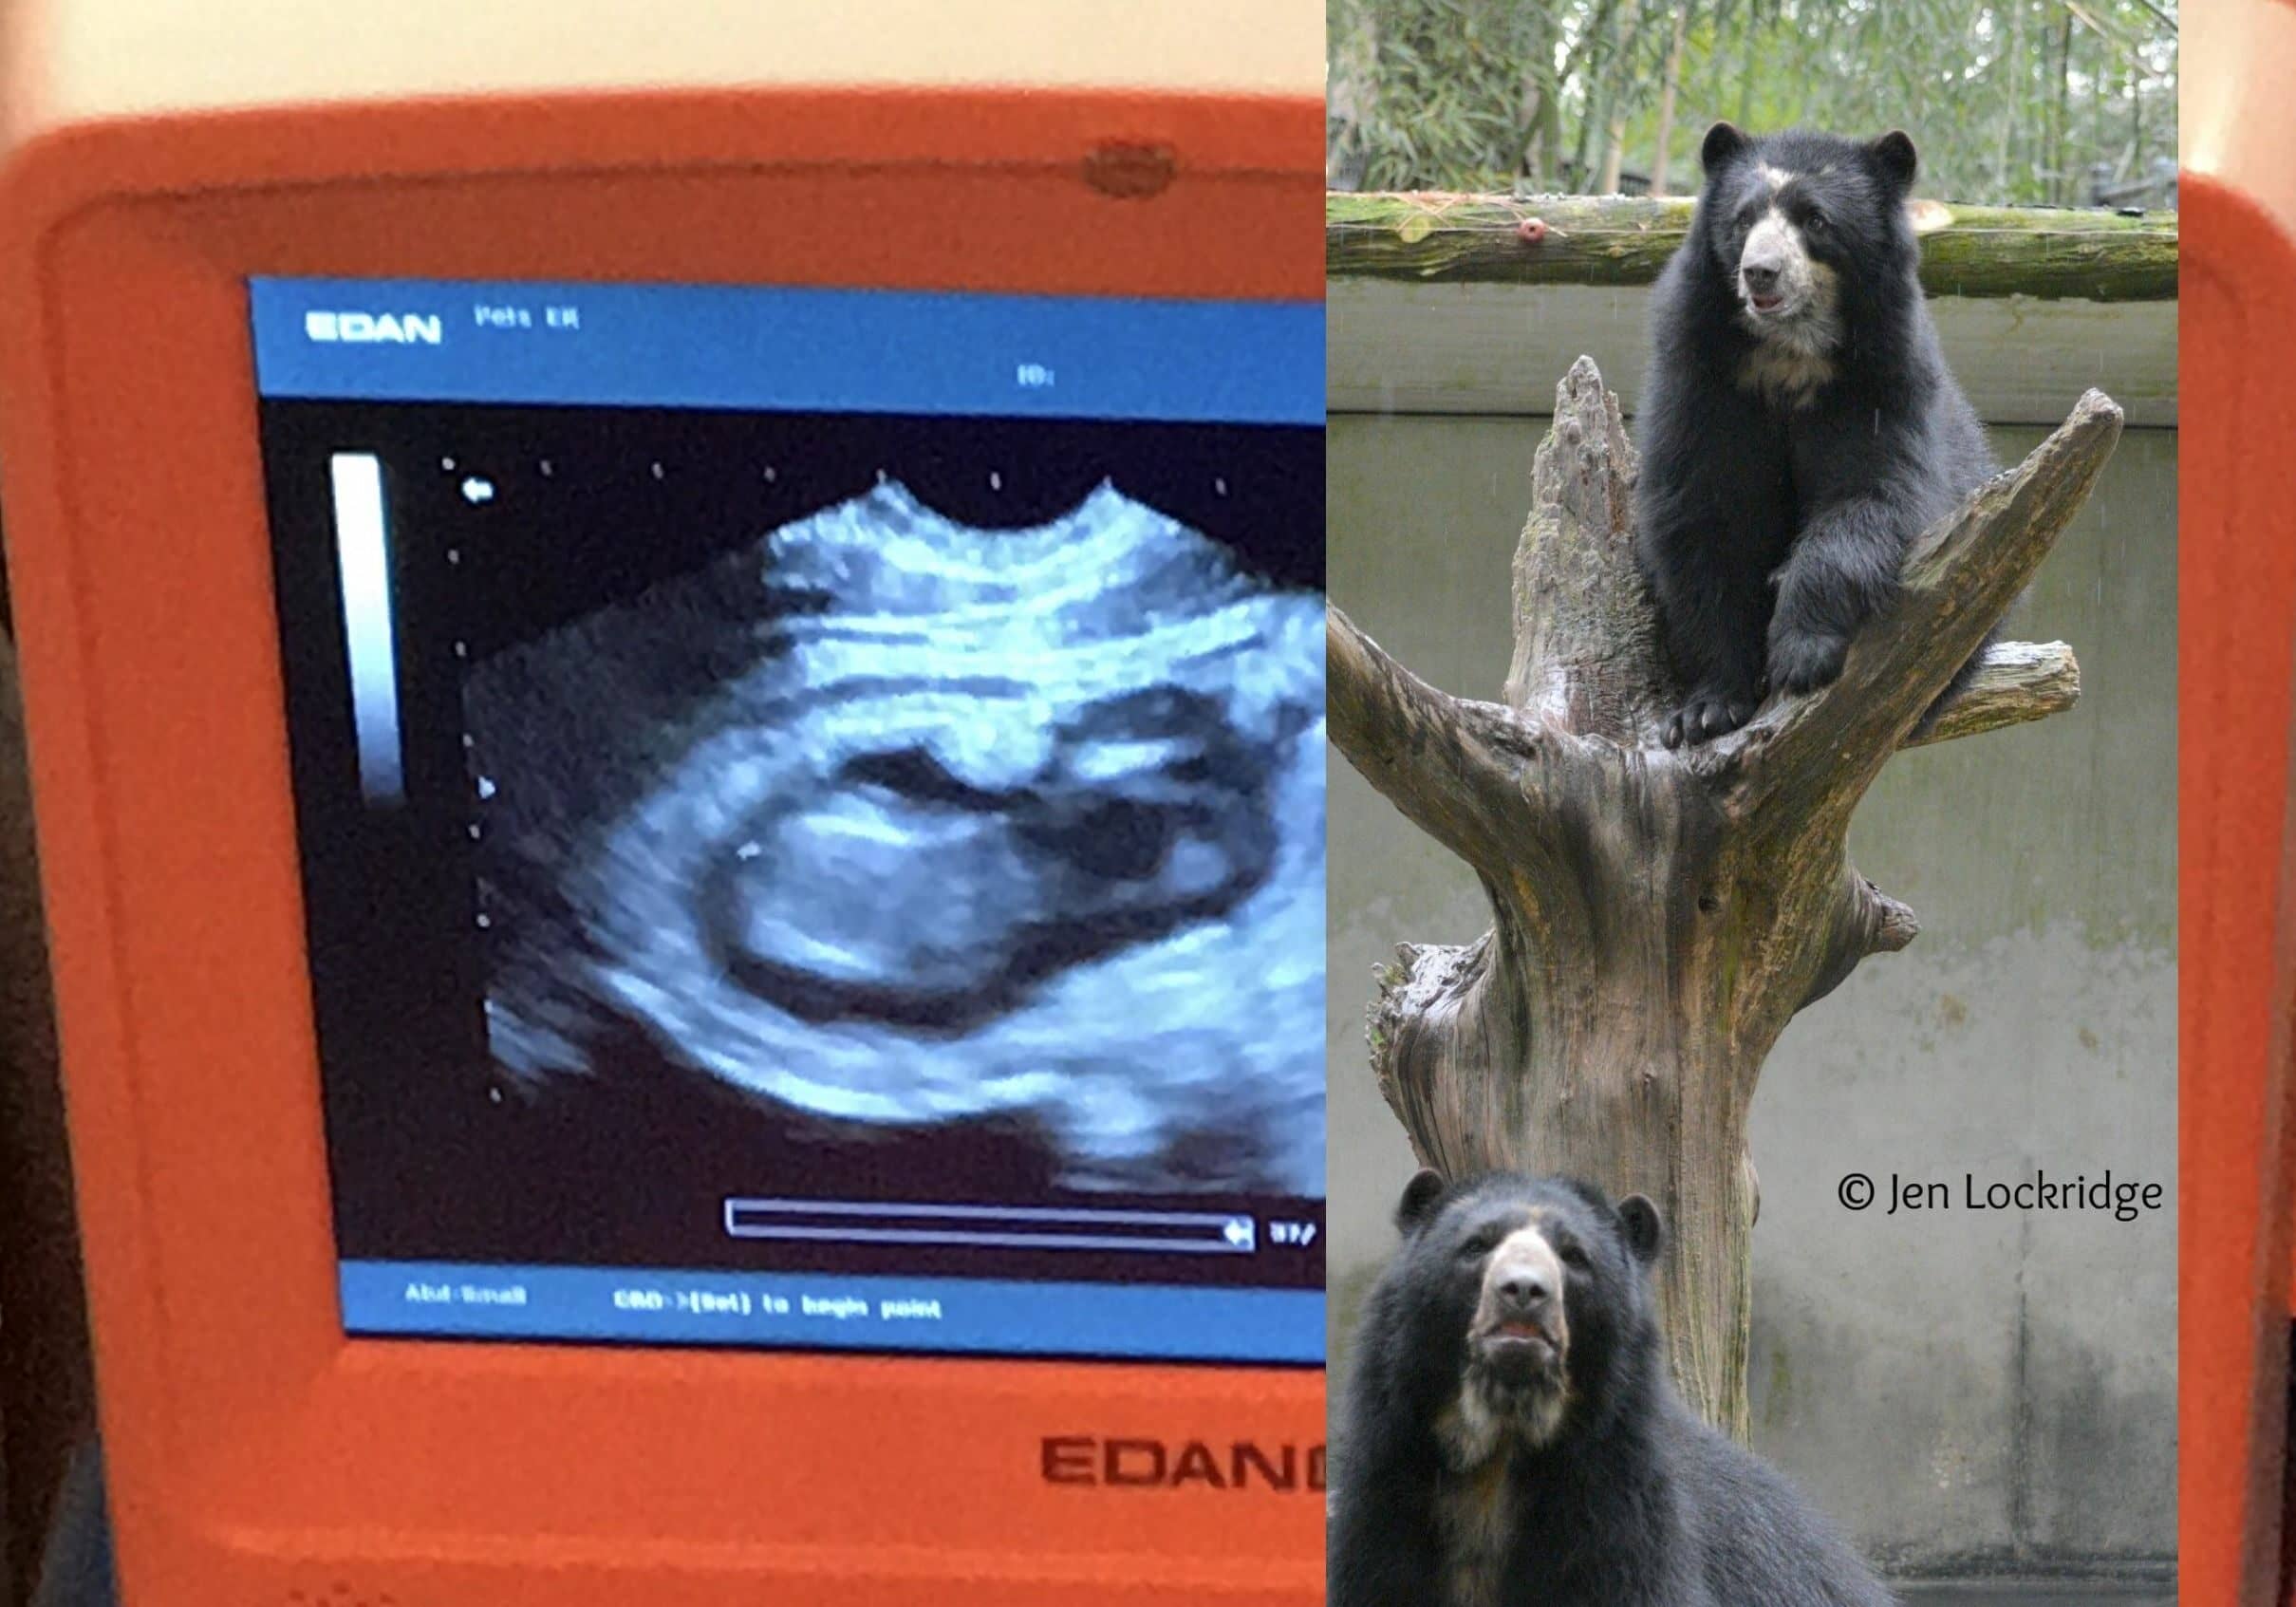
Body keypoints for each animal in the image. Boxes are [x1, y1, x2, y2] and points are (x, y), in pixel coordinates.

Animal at [1328, 1169, 1893, 1607]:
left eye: (1574, 1256)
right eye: (1477, 1245)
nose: (1523, 1292)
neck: (1502, 1454)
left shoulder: (1624, 1533)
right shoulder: (1381, 1518)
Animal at [1634, 121, 1997, 749]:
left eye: (1816, 221)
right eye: (1743, 219)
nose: (1760, 271)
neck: (1789, 353)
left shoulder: (1878, 385)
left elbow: (1874, 498)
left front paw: (1799, 655)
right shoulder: (1702, 385)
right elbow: (1702, 520)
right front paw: (1705, 711)